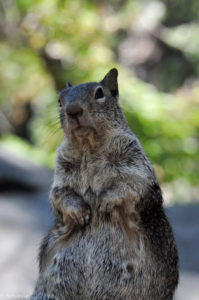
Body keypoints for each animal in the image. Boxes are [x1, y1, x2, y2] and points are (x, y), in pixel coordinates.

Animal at [30, 68, 179, 300]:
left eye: (99, 93)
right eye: (59, 100)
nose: (73, 110)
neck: (89, 147)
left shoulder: (138, 167)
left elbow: (131, 186)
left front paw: (105, 202)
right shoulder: (61, 173)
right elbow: (59, 195)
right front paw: (79, 211)